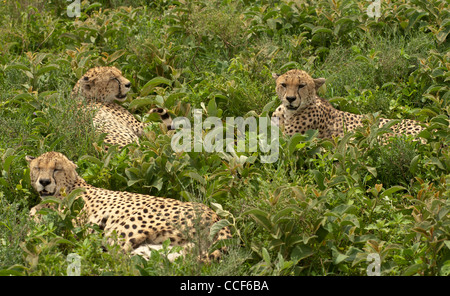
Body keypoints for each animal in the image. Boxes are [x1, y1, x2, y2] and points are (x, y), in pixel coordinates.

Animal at [27, 151, 232, 260]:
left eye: (56, 169)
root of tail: (216, 216)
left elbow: (33, 219)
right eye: (38, 167)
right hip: (165, 249)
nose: (44, 182)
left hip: (122, 230)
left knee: (116, 261)